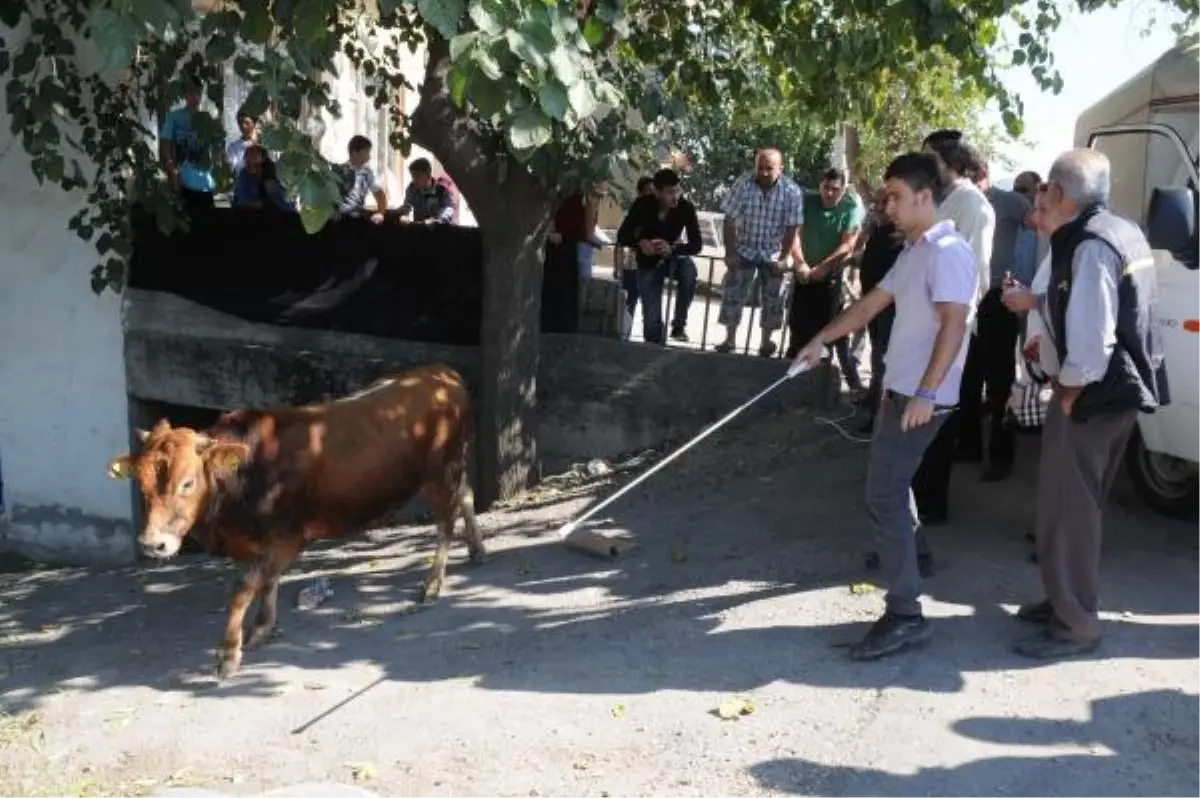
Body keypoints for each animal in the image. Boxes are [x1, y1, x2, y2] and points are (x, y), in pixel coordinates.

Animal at [109, 364, 487, 676]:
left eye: (187, 482)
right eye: (140, 482)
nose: (153, 544)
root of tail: (443, 373)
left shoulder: (288, 536)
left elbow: (244, 586)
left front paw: (229, 654)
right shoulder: (262, 542)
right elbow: (268, 580)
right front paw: (263, 627)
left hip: (441, 471)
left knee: (446, 521)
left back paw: (433, 583)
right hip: (451, 469)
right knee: (467, 494)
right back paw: (477, 549)